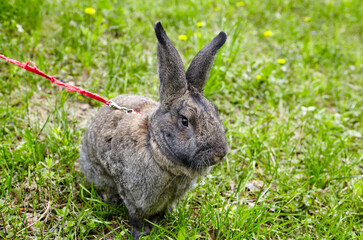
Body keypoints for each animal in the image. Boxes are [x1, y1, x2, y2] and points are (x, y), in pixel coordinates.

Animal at [79, 21, 229, 239]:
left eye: (214, 112)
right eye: (185, 121)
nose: (220, 153)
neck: (155, 147)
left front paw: (158, 225)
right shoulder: (135, 197)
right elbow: (137, 217)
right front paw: (142, 233)